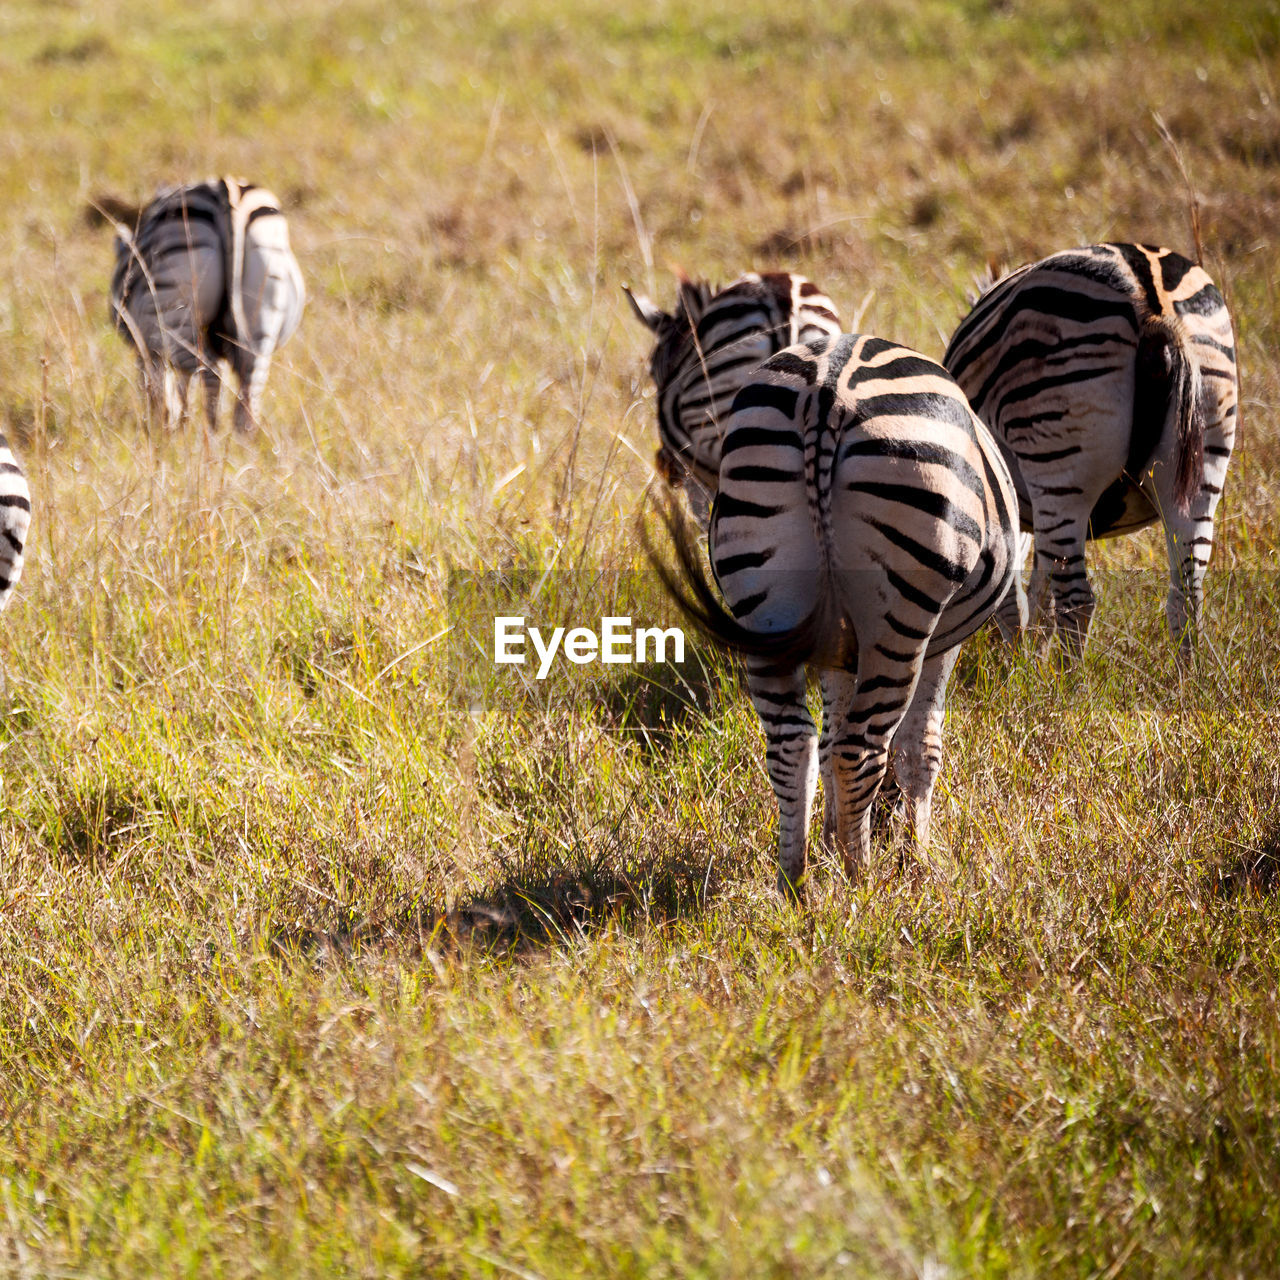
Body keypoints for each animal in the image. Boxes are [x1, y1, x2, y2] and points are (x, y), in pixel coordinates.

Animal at [106, 175, 303, 435]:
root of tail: (227, 193)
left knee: (211, 373)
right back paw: (238, 442)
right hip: (263, 316)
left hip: (177, 313)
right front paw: (179, 425)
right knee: (249, 389)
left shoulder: (149, 345)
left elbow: (163, 387)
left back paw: (211, 434)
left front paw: (168, 427)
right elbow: (180, 388)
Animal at [650, 335, 1018, 896]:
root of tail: (827, 391)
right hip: (901, 613)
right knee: (860, 749)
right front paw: (918, 862)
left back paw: (797, 883)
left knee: (792, 743)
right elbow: (920, 746)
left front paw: (831, 841)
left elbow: (828, 738)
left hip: (763, 597)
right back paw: (863, 883)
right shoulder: (942, 644)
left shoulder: (833, 649)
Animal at [947, 243, 1233, 655]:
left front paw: (1018, 661)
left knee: (1079, 600)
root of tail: (1153, 303)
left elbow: (1015, 600)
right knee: (1187, 596)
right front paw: (1032, 653)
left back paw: (1067, 675)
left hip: (1060, 465)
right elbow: (1038, 592)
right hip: (1202, 468)